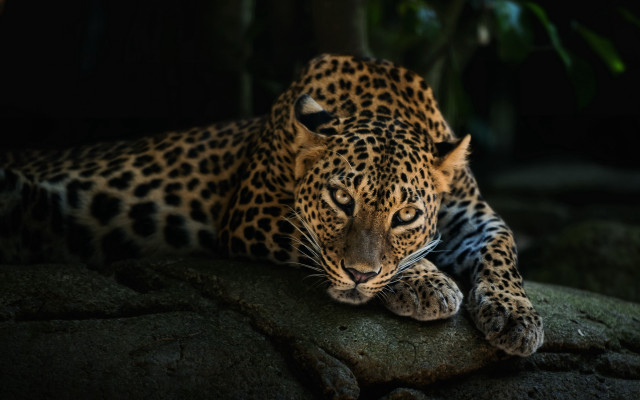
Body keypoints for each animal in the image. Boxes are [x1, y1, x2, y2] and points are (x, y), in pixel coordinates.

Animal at [0, 54, 543, 356]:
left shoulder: (473, 215)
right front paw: (429, 282)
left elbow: (503, 248)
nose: (360, 276)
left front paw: (516, 316)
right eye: (341, 199)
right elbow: (317, 242)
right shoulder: (251, 212)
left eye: (406, 215)